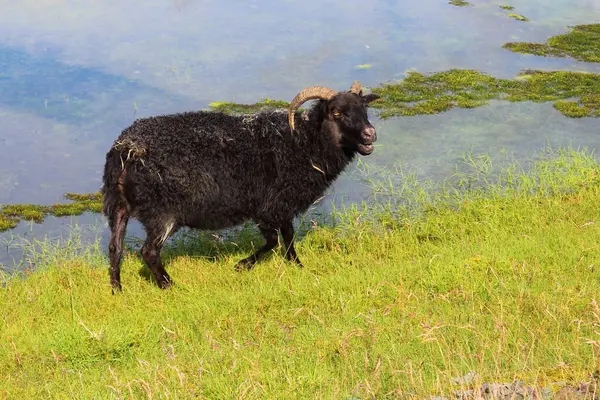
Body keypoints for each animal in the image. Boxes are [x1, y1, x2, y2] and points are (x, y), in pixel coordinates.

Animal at [100, 81, 378, 290]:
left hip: (118, 205)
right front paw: (244, 265)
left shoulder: (277, 207)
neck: (304, 143)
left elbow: (285, 238)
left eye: (364, 110)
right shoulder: (272, 206)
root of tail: (126, 150)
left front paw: (295, 266)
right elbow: (277, 240)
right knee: (148, 252)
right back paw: (169, 285)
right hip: (162, 213)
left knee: (115, 247)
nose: (370, 134)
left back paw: (117, 290)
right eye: (336, 112)